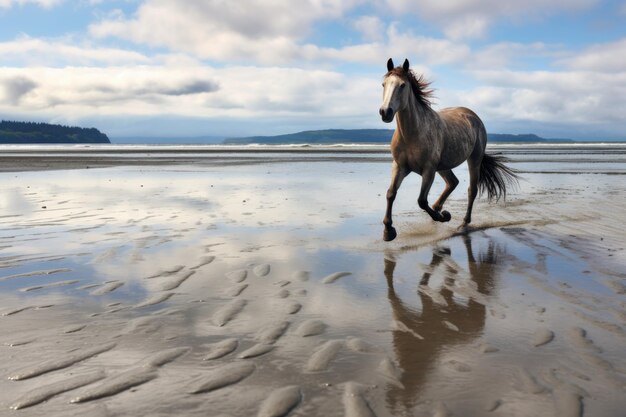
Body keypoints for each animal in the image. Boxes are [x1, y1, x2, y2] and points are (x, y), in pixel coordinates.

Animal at [376, 57, 516, 240]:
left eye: (402, 85)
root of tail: (472, 115)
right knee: (453, 182)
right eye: (384, 84)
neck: (412, 135)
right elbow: (391, 193)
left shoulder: (428, 170)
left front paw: (443, 217)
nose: (385, 112)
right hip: (443, 166)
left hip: (474, 160)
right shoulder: (399, 166)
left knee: (471, 190)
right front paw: (388, 230)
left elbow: (421, 201)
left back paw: (462, 223)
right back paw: (438, 208)